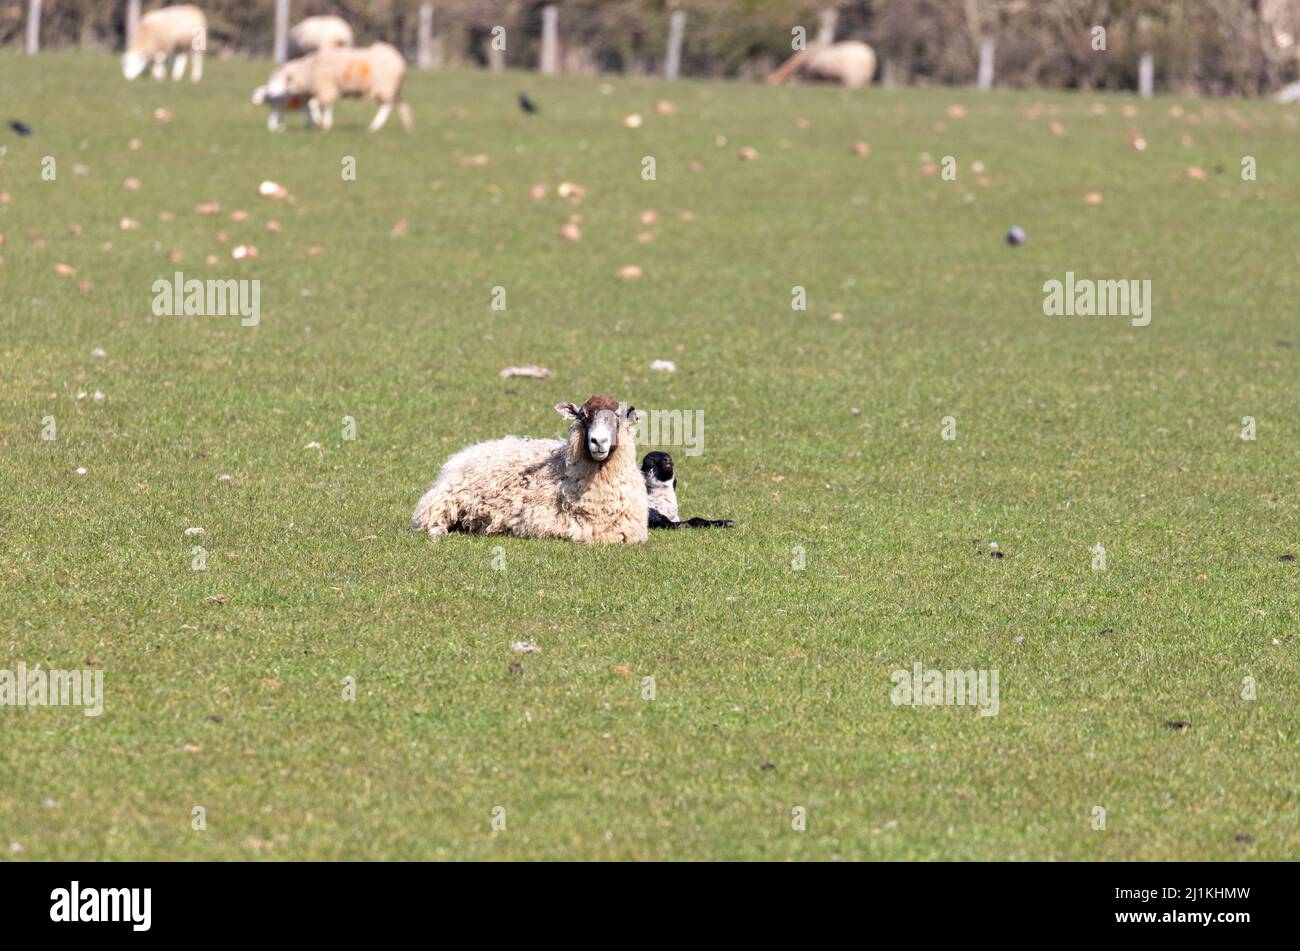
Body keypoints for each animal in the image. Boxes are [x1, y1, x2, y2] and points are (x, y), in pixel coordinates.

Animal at [260, 41, 410, 131]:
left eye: (278, 80)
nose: (269, 93)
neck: (309, 70)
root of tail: (399, 59)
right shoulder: (318, 90)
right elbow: (312, 106)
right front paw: (312, 124)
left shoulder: (326, 87)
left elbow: (319, 104)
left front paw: (323, 122)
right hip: (392, 89)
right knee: (400, 104)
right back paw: (408, 126)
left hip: (384, 86)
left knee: (386, 106)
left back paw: (375, 126)